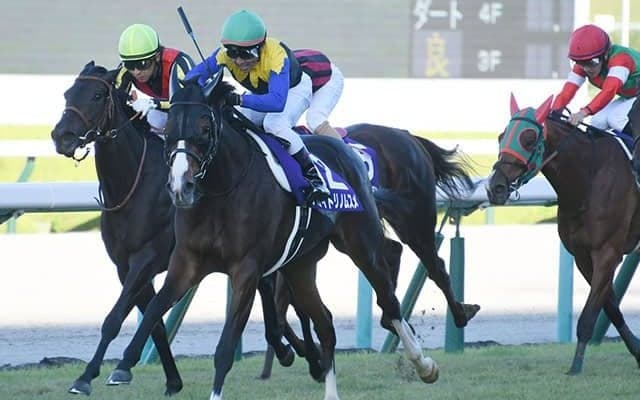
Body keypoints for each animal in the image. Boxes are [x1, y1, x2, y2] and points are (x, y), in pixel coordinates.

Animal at [49, 62, 298, 395]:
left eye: (98, 95)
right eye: (67, 93)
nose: (61, 136)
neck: (135, 183)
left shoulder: (148, 258)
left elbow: (116, 318)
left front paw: (89, 376)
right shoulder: (126, 266)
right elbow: (153, 321)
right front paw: (170, 379)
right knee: (268, 288)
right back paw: (289, 348)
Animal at [104, 79, 439, 399]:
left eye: (204, 129)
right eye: (169, 130)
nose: (180, 187)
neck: (222, 190)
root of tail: (348, 151)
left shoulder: (246, 269)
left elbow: (225, 347)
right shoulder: (185, 263)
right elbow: (152, 313)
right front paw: (119, 368)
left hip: (362, 243)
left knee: (390, 301)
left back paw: (424, 365)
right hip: (300, 264)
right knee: (326, 322)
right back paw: (331, 391)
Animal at [261, 122, 480, 378]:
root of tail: (406, 135)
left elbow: (287, 308)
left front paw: (309, 356)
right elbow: (284, 310)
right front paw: (305, 354)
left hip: (412, 220)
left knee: (434, 266)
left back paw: (461, 314)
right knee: (393, 251)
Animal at [487, 93, 640, 375]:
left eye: (528, 139)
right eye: (501, 136)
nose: (496, 187)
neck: (589, 178)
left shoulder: (607, 253)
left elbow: (589, 315)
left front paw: (576, 366)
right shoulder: (582, 256)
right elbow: (610, 308)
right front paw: (638, 352)